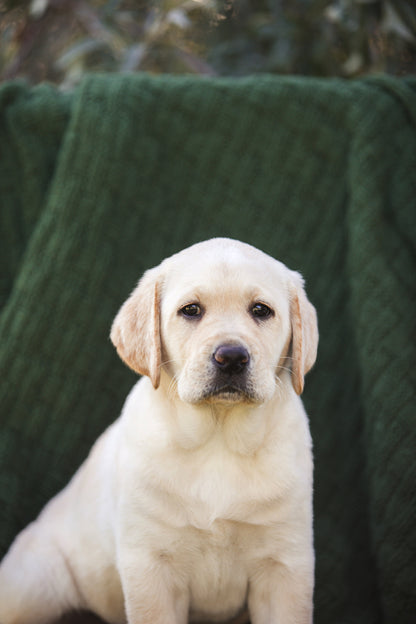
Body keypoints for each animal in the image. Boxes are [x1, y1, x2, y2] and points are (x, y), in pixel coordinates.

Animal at [0, 238, 318, 624]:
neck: (218, 438)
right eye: (191, 310)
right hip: (34, 584)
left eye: (261, 310)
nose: (231, 357)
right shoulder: (151, 565)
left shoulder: (284, 564)